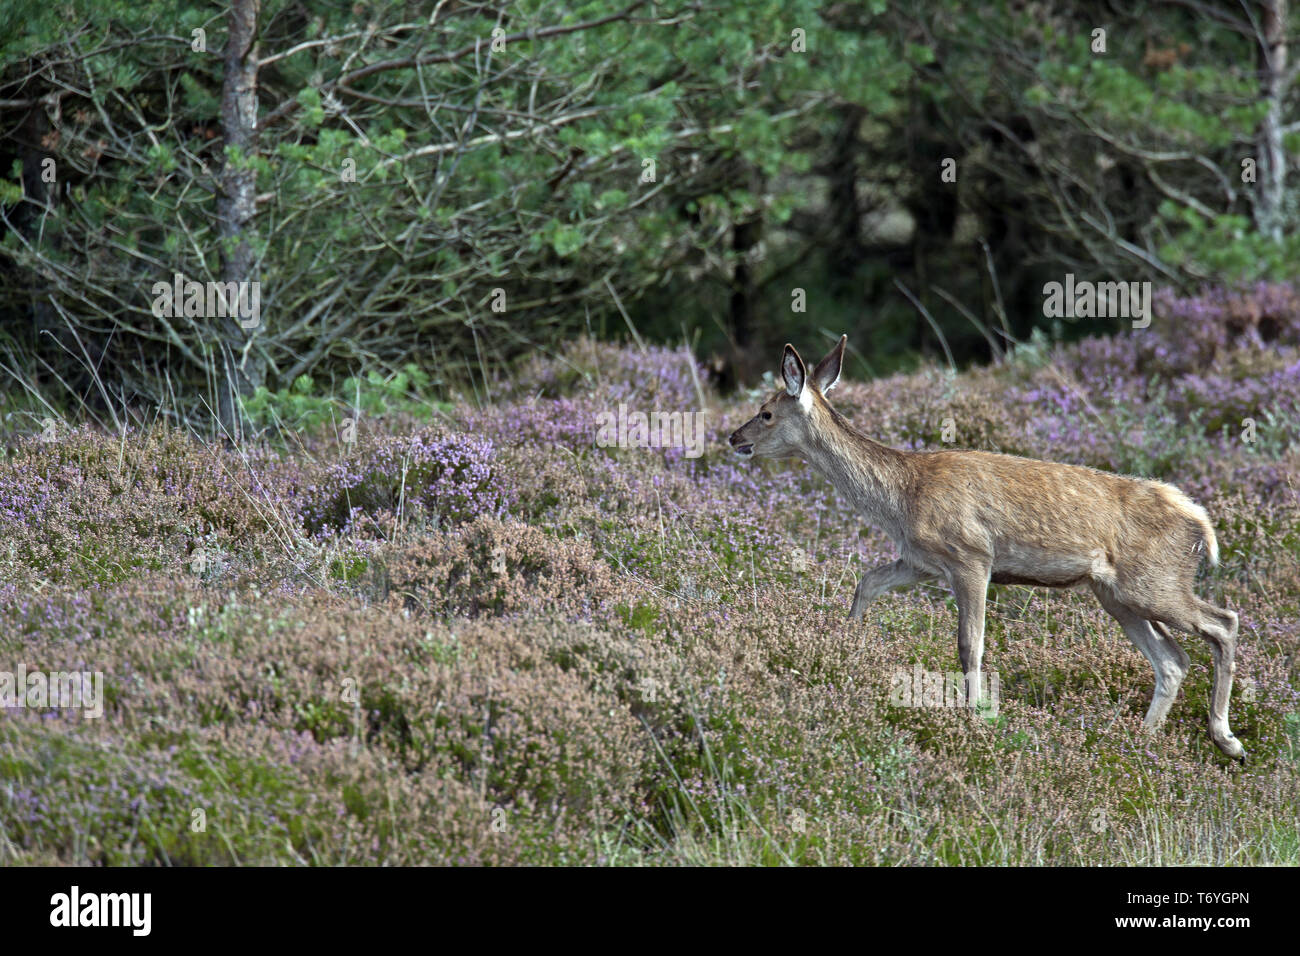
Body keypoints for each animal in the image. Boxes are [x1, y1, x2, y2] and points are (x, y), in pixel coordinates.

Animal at [728, 335, 1244, 759]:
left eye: (767, 411)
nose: (734, 437)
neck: (902, 498)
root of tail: (1200, 521)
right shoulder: (921, 560)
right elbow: (867, 581)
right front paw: (844, 647)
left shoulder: (972, 555)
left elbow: (969, 644)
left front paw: (975, 718)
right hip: (1115, 594)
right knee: (1173, 660)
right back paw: (1142, 741)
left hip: (1152, 581)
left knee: (1223, 622)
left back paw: (1227, 739)